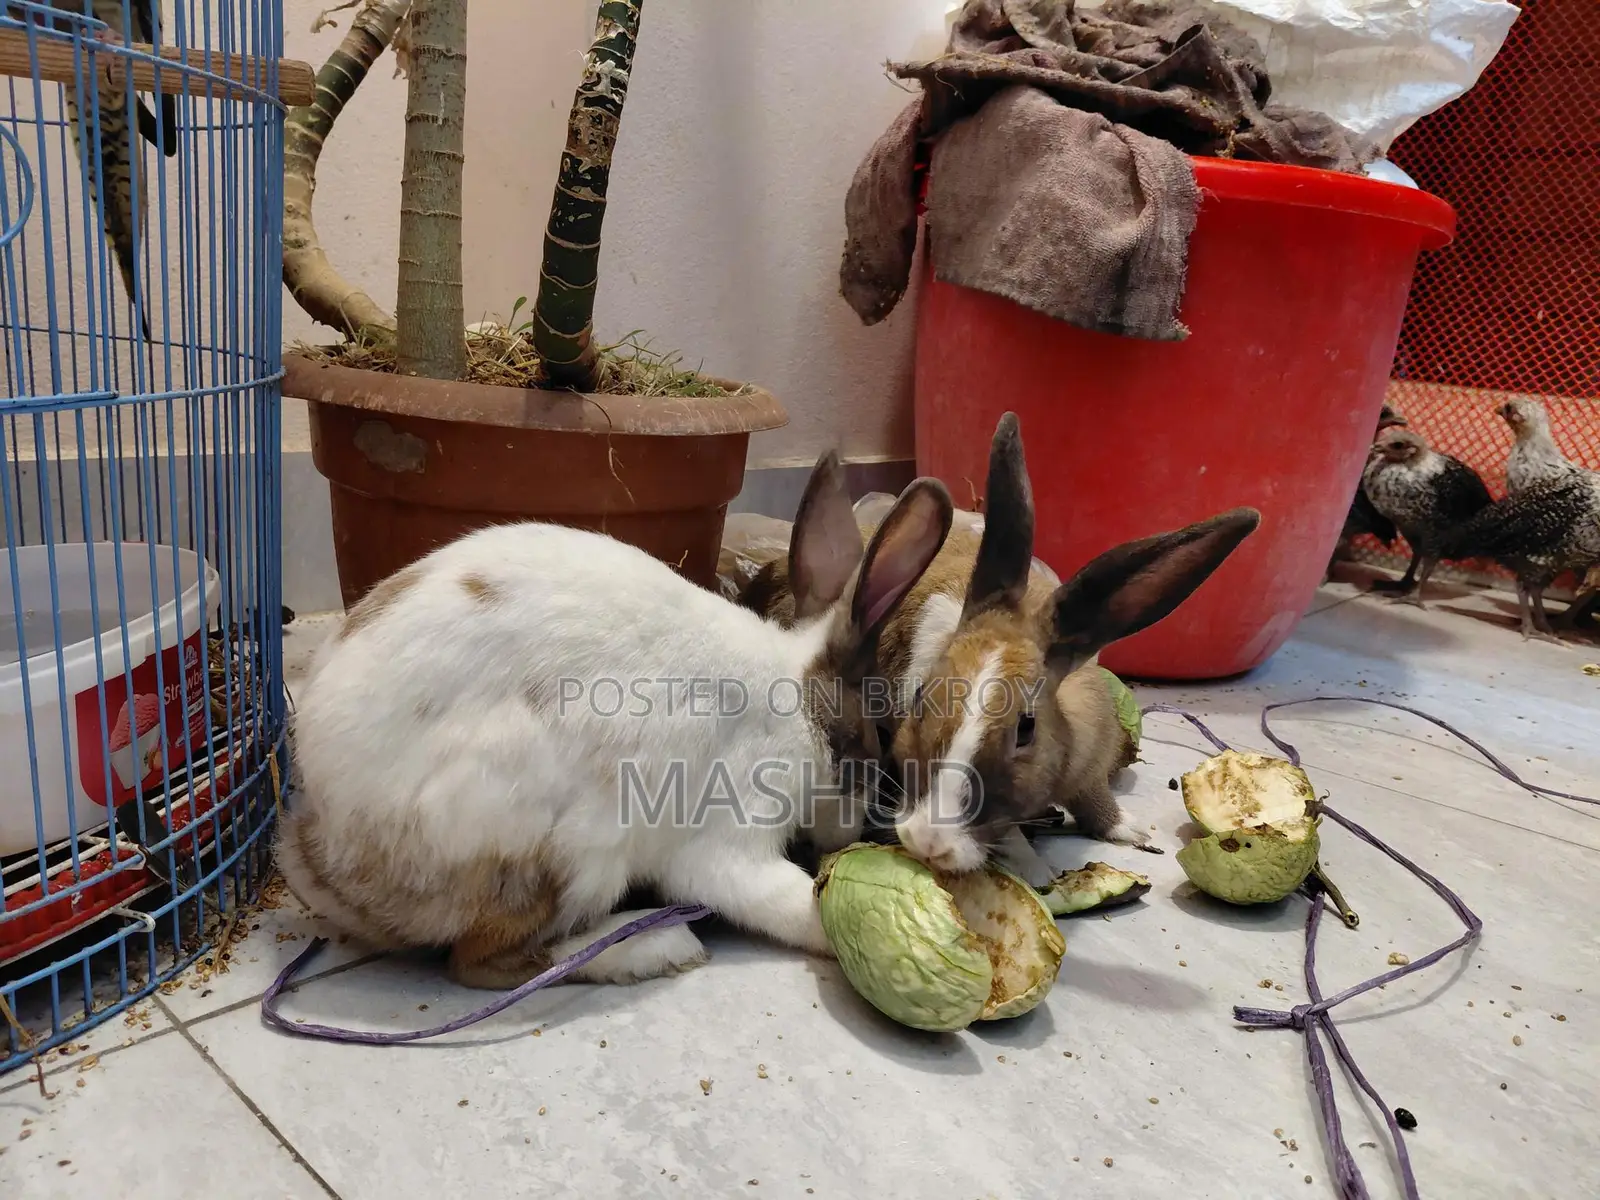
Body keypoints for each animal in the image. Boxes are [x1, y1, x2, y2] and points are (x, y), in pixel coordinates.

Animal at [276, 453, 954, 990]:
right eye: (878, 737)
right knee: (487, 963)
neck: (804, 704)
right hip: (570, 848)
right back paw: (655, 947)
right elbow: (788, 902)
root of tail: (328, 856)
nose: (849, 834)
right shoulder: (731, 836)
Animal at [737, 412, 1260, 885]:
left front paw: (1131, 830)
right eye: (921, 701)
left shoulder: (1090, 758)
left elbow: (1093, 795)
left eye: (1026, 728)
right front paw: (1034, 868)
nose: (929, 842)